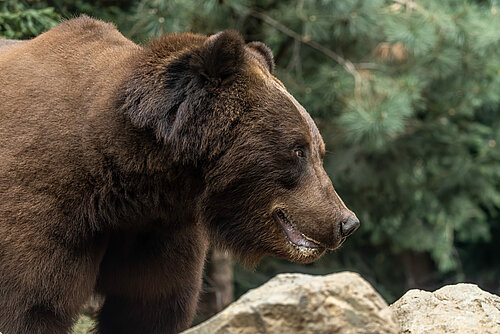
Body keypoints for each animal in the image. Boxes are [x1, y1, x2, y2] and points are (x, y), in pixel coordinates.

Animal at [0, 15, 360, 334]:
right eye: (298, 150)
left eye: (319, 150)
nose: (346, 222)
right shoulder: (48, 202)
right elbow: (32, 304)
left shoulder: (161, 231)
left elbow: (149, 309)